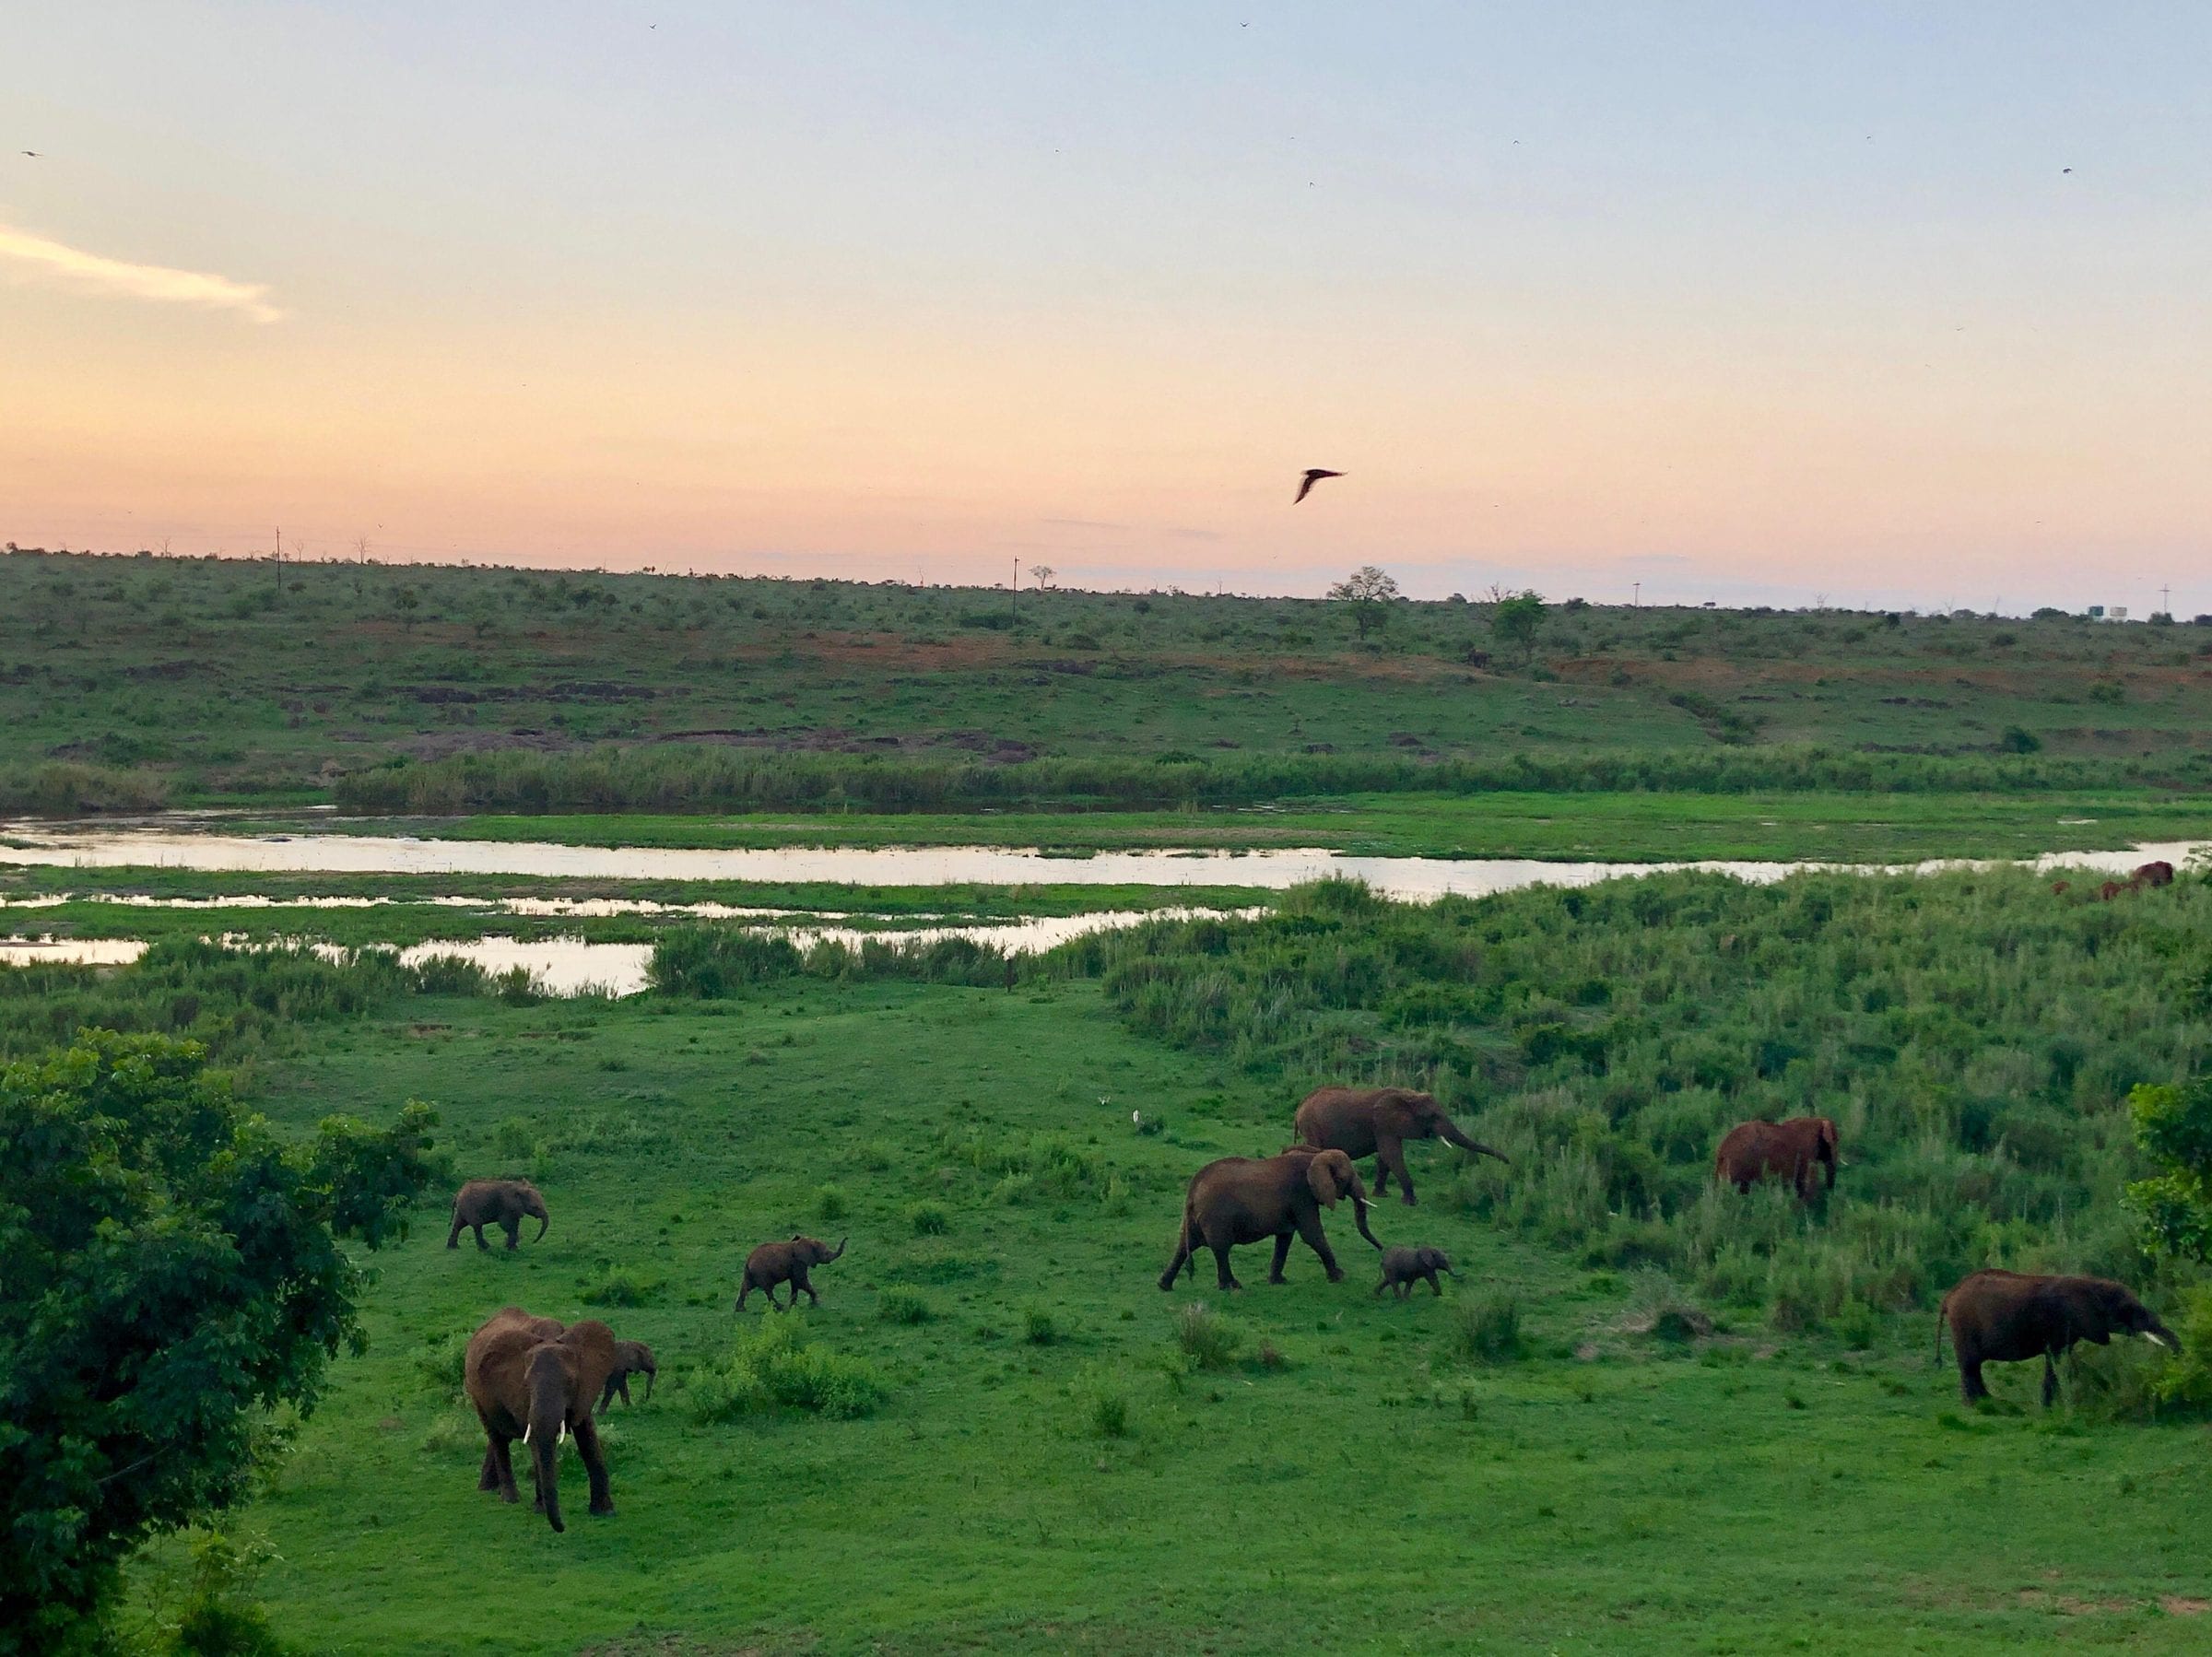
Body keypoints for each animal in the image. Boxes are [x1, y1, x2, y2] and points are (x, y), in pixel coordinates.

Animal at [462, 1306, 618, 1533]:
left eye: (570, 1381)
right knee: (496, 1436)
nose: (562, 1528)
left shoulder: (584, 1390)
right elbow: (536, 1441)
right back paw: (509, 1498)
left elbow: (589, 1440)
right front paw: (540, 1510)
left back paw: (489, 1489)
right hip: (476, 1391)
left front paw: (605, 1512)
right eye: (526, 1383)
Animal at [1159, 1145, 1382, 1293]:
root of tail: (1193, 1188)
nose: (1381, 1250)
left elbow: (1285, 1237)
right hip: (1216, 1216)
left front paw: (1278, 1282)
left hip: (1196, 1218)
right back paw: (1232, 1287)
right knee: (1221, 1249)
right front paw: (1339, 1276)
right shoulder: (1302, 1195)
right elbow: (1311, 1234)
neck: (1314, 1156)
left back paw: (1164, 1286)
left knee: (1185, 1245)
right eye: (1344, 1178)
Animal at [1291, 1086, 1507, 1207]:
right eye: (1432, 1116)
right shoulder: (1383, 1123)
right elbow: (1392, 1154)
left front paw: (1382, 1195)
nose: (1508, 1162)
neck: (1408, 1096)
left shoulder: (1389, 1126)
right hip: (1312, 1125)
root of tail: (1301, 1105)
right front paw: (1411, 1203)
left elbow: (1385, 1157)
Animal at [1713, 1117, 1838, 1201]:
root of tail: (1721, 1152)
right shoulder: (1807, 1153)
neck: (1816, 1120)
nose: (1830, 1193)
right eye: (1835, 1141)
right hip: (1740, 1167)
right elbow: (1808, 1184)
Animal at [1937, 1269, 2178, 1406]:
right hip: (1964, 1324)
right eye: (2127, 1309)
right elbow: (2057, 1358)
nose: (2177, 1356)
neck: (2091, 1285)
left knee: (1972, 1365)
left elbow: (2057, 1360)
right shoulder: (2062, 1322)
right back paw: (1979, 1405)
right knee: (1970, 1364)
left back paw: (1986, 1402)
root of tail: (1949, 1296)